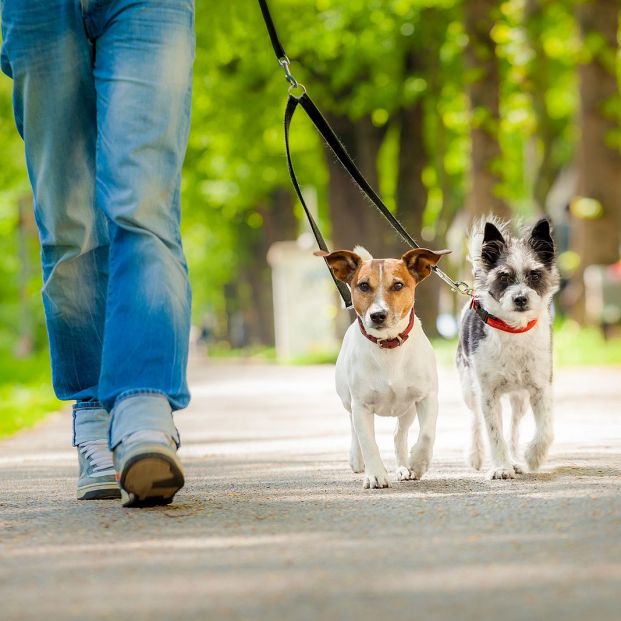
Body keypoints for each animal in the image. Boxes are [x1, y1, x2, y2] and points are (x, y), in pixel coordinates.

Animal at [318, 245, 448, 486]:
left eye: (397, 285)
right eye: (363, 285)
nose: (378, 315)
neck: (388, 345)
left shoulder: (427, 397)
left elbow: (426, 434)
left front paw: (418, 463)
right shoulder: (361, 405)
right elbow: (368, 443)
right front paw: (375, 474)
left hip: (407, 409)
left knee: (399, 434)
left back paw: (404, 467)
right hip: (348, 401)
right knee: (354, 430)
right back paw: (357, 459)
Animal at [456, 218, 560, 480]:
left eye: (535, 274)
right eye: (504, 276)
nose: (520, 298)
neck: (513, 330)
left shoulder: (540, 388)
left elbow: (546, 430)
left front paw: (532, 457)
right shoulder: (487, 394)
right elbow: (494, 433)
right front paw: (501, 467)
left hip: (519, 399)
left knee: (513, 429)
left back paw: (516, 459)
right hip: (469, 387)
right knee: (475, 420)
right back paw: (476, 454)